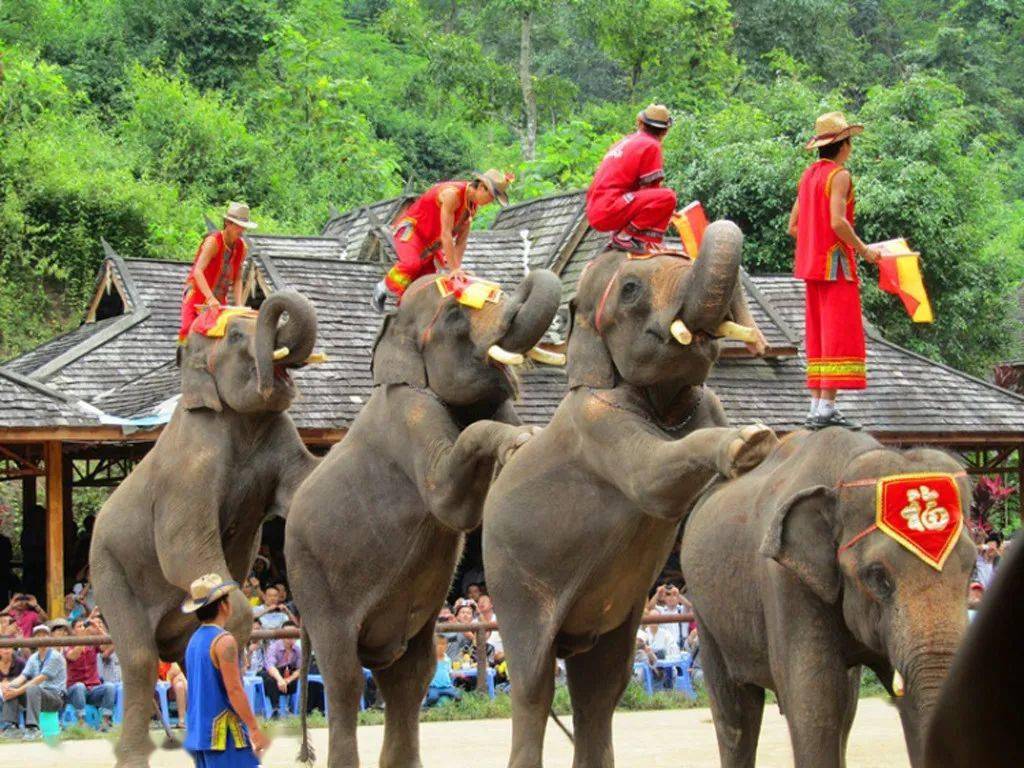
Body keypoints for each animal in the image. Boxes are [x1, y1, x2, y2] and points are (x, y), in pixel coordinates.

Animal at [91, 290, 319, 768]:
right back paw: (135, 754)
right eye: (235, 337)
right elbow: (182, 552)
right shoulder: (188, 469)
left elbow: (307, 485)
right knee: (139, 658)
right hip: (108, 568)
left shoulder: (282, 436)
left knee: (180, 652)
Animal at [284, 266, 565, 768]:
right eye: (453, 315)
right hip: (314, 585)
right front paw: (521, 440)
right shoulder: (408, 417)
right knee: (345, 678)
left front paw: (528, 442)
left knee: (409, 676)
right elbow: (451, 503)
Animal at [479, 219, 774, 765]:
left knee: (601, 687)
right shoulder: (597, 424)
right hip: (512, 584)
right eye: (632, 289)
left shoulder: (706, 402)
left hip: (612, 623)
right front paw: (750, 442)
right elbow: (652, 481)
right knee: (533, 685)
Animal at [679, 430, 974, 765]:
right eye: (878, 577)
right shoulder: (785, 583)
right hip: (705, 614)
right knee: (736, 715)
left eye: (972, 568)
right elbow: (815, 700)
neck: (844, 471)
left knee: (846, 709)